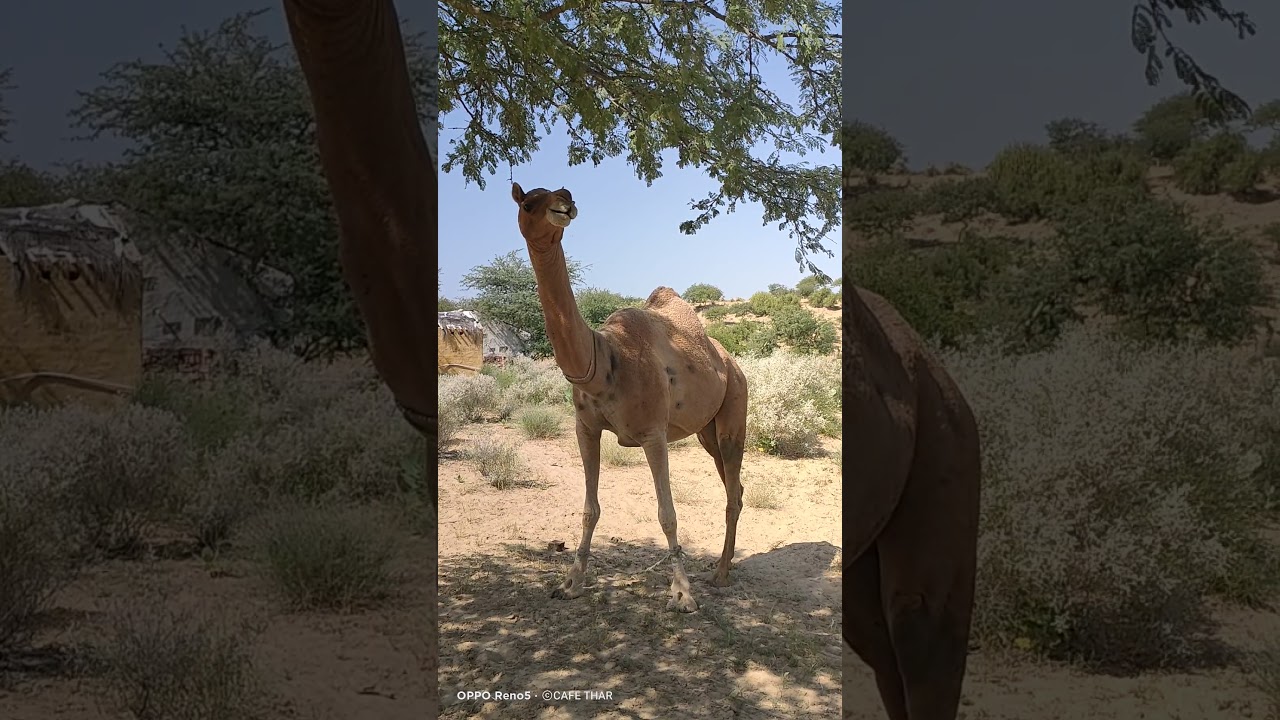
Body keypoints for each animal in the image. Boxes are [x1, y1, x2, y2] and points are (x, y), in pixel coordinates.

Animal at [511, 182, 748, 613]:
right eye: (528, 202)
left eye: (560, 191)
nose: (565, 204)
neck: (605, 360)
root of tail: (731, 362)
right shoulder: (585, 429)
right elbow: (589, 509)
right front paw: (570, 582)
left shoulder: (653, 433)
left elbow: (667, 514)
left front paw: (682, 594)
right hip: (706, 432)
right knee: (733, 487)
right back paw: (723, 567)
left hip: (734, 412)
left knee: (732, 489)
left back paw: (721, 574)